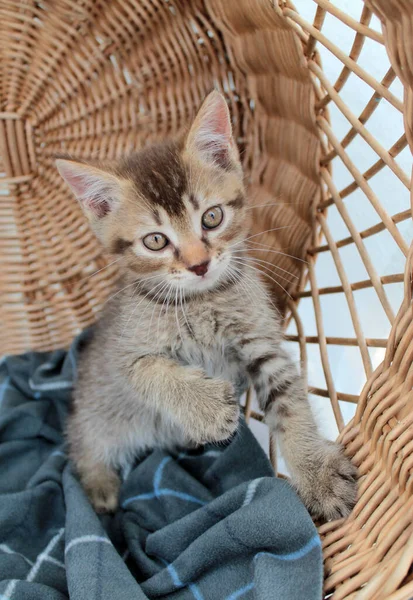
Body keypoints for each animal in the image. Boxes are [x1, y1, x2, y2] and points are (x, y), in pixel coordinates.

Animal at [56, 90, 356, 520]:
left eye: (211, 217)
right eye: (155, 241)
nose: (199, 264)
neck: (201, 300)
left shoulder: (262, 343)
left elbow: (289, 404)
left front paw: (316, 474)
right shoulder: (122, 353)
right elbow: (151, 372)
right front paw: (207, 409)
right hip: (97, 413)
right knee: (82, 442)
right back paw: (99, 489)